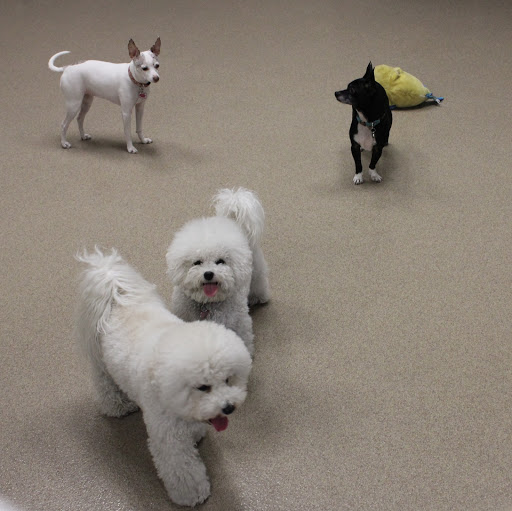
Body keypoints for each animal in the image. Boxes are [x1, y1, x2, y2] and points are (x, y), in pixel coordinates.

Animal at [75, 248, 252, 507]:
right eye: (203, 387)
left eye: (229, 380)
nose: (228, 407)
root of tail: (114, 294)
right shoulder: (169, 439)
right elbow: (183, 470)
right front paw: (192, 494)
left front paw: (197, 433)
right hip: (102, 366)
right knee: (105, 386)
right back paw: (117, 406)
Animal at [166, 188, 270, 356]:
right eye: (197, 262)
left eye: (220, 261)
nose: (208, 274)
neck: (207, 304)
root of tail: (232, 221)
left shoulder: (239, 324)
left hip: (256, 271)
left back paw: (259, 297)